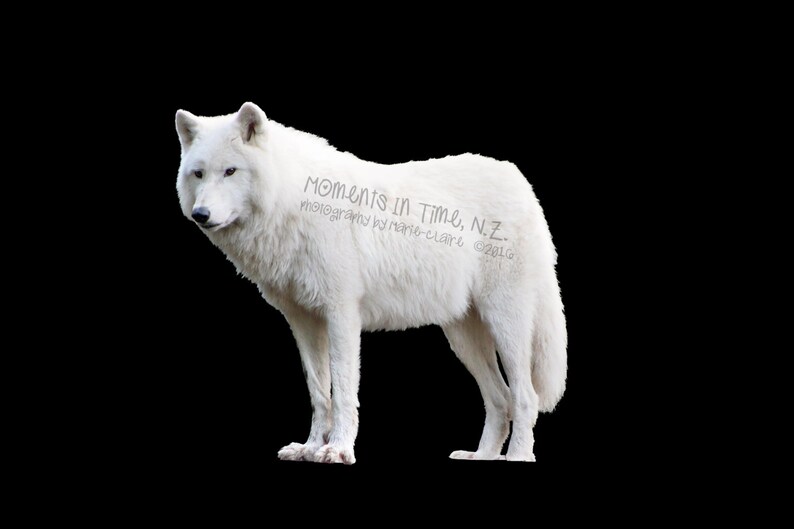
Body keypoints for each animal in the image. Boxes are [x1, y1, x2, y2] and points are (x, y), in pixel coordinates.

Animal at [175, 102, 567, 464]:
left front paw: (338, 450)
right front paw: (311, 448)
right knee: (500, 399)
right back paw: (481, 456)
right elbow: (319, 393)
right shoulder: (303, 321)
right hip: (462, 337)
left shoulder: (342, 314)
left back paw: (518, 457)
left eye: (230, 171)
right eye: (198, 174)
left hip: (505, 325)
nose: (200, 215)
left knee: (525, 396)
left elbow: (344, 391)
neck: (292, 201)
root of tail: (518, 179)